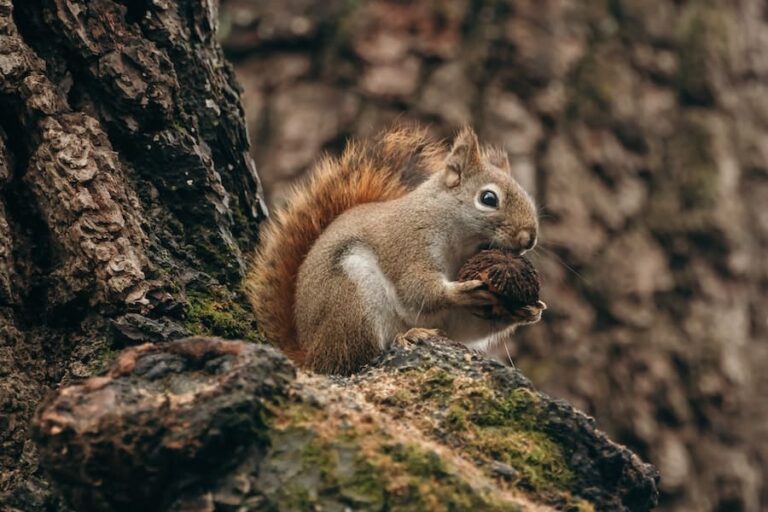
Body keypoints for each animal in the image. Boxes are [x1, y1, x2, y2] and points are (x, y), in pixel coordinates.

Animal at [246, 126, 544, 375]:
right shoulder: (407, 245)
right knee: (355, 359)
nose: (529, 238)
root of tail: (310, 354)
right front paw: (460, 291)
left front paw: (526, 312)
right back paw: (408, 336)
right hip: (351, 298)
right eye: (488, 198)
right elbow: (416, 290)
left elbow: (462, 325)